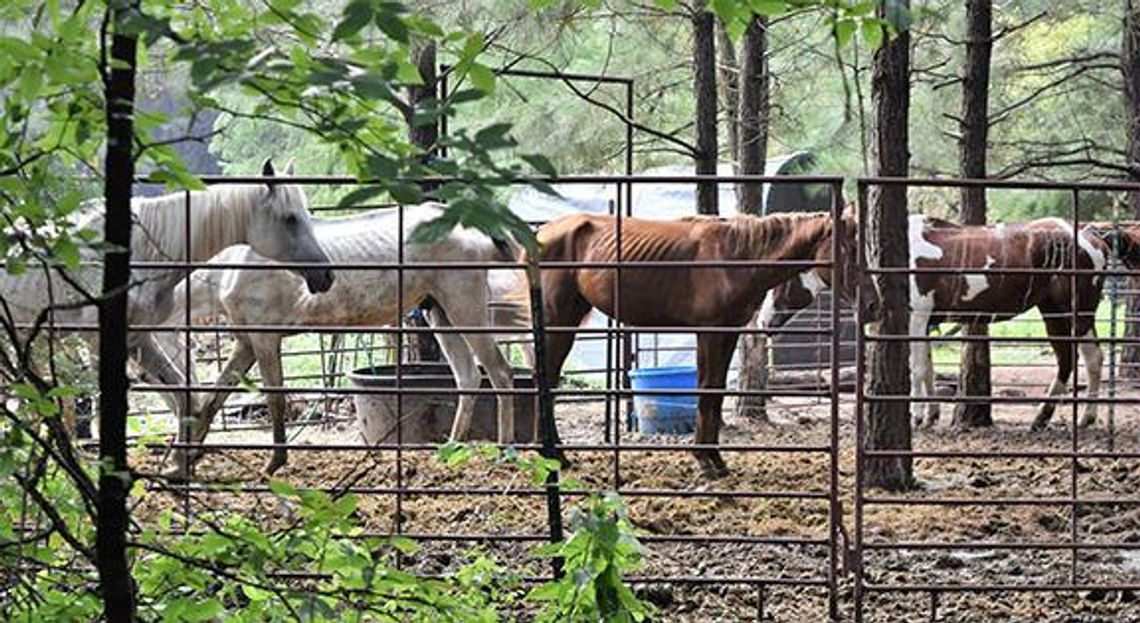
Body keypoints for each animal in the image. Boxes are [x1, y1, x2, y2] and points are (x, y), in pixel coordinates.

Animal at [0, 159, 333, 441]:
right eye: (289, 218)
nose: (327, 275)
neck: (141, 250)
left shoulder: (140, 338)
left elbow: (185, 399)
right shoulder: (99, 342)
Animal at [163, 202, 521, 475]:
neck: (231, 267)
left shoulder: (265, 339)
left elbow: (275, 399)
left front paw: (273, 464)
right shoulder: (247, 343)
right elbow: (213, 399)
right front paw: (182, 463)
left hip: (465, 306)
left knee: (500, 372)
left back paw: (506, 450)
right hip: (439, 312)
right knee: (469, 376)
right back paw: (449, 448)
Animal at [518, 210, 876, 478]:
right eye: (849, 249)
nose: (873, 305)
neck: (735, 257)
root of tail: (542, 232)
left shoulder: (729, 332)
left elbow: (717, 391)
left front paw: (715, 458)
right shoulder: (709, 332)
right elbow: (705, 389)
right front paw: (704, 460)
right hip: (558, 322)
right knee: (547, 379)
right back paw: (553, 455)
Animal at [760, 215, 1140, 430]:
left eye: (781, 279)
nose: (763, 322)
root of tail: (1092, 238)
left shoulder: (914, 319)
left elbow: (916, 370)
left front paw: (917, 416)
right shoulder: (925, 324)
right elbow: (927, 369)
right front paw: (930, 414)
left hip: (1068, 314)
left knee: (1078, 360)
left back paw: (1055, 417)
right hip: (1065, 314)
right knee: (1083, 360)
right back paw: (1072, 417)